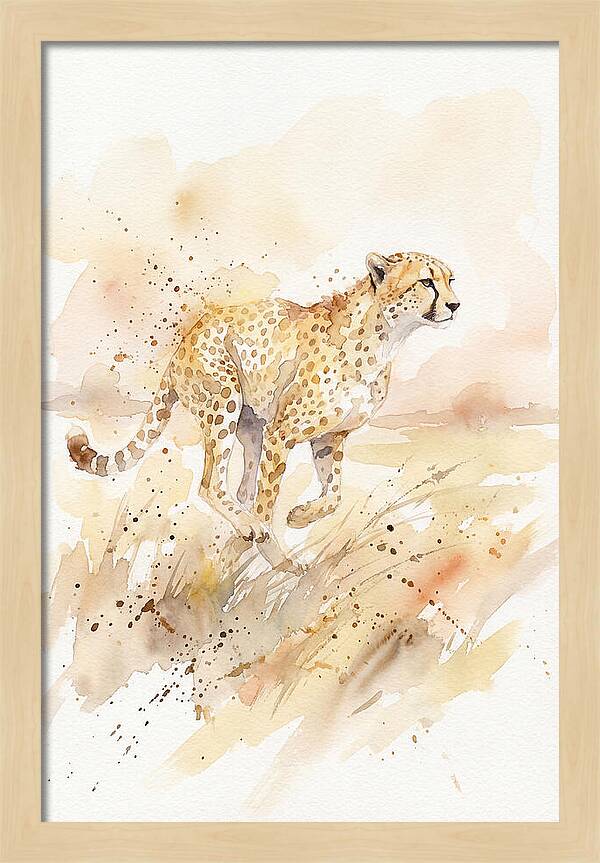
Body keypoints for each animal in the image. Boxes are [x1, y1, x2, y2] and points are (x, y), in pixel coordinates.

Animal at [68, 250, 459, 569]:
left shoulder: (330, 437)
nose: (455, 305)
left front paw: (300, 516)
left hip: (252, 427)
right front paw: (277, 556)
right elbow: (269, 503)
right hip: (224, 402)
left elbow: (333, 495)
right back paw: (248, 529)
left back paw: (238, 537)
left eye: (450, 280)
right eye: (426, 282)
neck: (385, 337)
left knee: (242, 491)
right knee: (212, 484)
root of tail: (187, 338)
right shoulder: (282, 433)